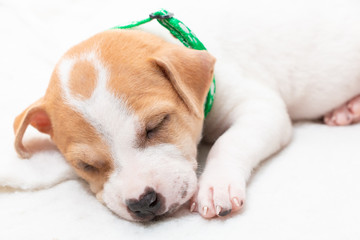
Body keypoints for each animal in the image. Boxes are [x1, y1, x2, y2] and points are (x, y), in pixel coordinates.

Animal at [12, 0, 360, 220]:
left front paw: (216, 185)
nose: (144, 203)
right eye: (85, 165)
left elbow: (228, 142)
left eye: (156, 124)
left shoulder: (259, 107)